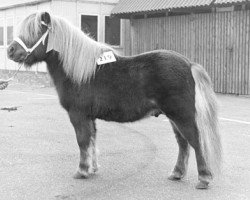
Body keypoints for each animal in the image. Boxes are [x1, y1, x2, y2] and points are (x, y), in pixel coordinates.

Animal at [7, 11, 222, 189]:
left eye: (35, 31)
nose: (10, 50)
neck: (80, 71)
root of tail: (189, 64)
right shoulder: (89, 117)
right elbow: (91, 139)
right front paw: (92, 168)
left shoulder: (78, 115)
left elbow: (82, 141)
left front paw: (82, 170)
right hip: (173, 117)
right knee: (183, 143)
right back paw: (177, 173)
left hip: (182, 115)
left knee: (195, 141)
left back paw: (203, 178)